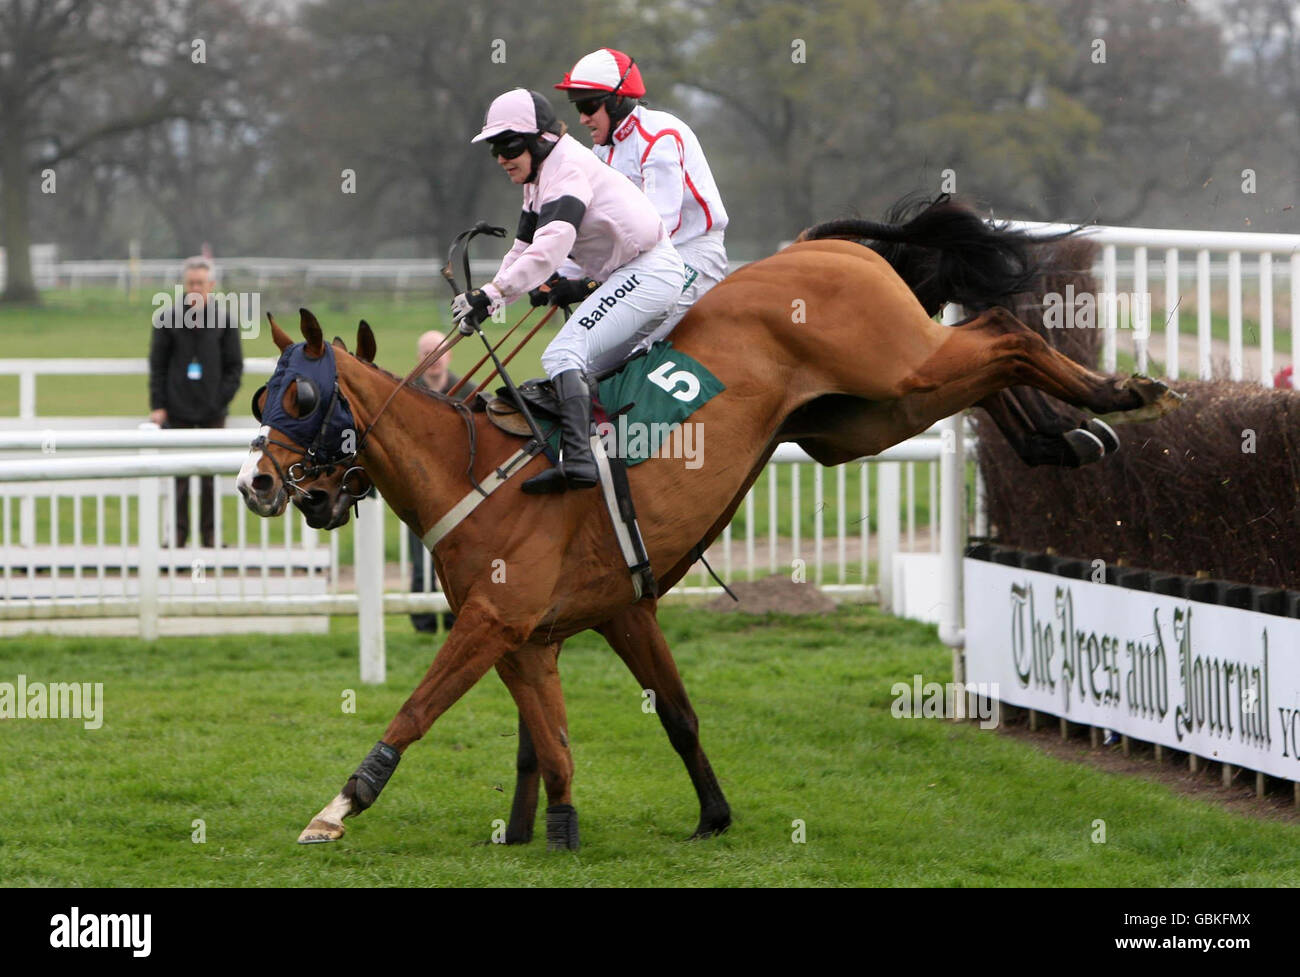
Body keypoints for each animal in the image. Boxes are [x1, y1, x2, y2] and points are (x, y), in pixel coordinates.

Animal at [239, 198, 1185, 847]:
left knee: (999, 333)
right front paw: (643, 818)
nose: (256, 483)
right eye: (260, 396)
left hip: (894, 368)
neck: (476, 473)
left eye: (302, 398)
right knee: (990, 363)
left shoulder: (493, 621)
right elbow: (595, 731)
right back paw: (1068, 436)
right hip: (863, 417)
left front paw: (337, 806)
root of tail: (820, 245)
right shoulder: (564, 626)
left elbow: (418, 710)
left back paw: (1122, 392)